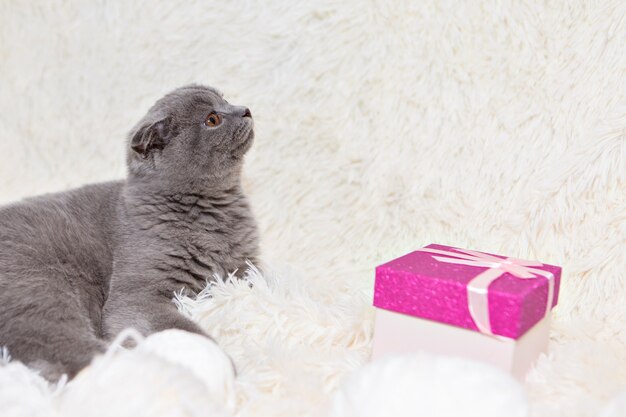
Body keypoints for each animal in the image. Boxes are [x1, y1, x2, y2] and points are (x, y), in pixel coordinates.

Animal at [0, 85, 258, 380]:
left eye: (225, 100)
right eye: (212, 120)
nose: (245, 109)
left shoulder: (246, 265)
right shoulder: (137, 295)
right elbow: (179, 326)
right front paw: (213, 357)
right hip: (39, 292)